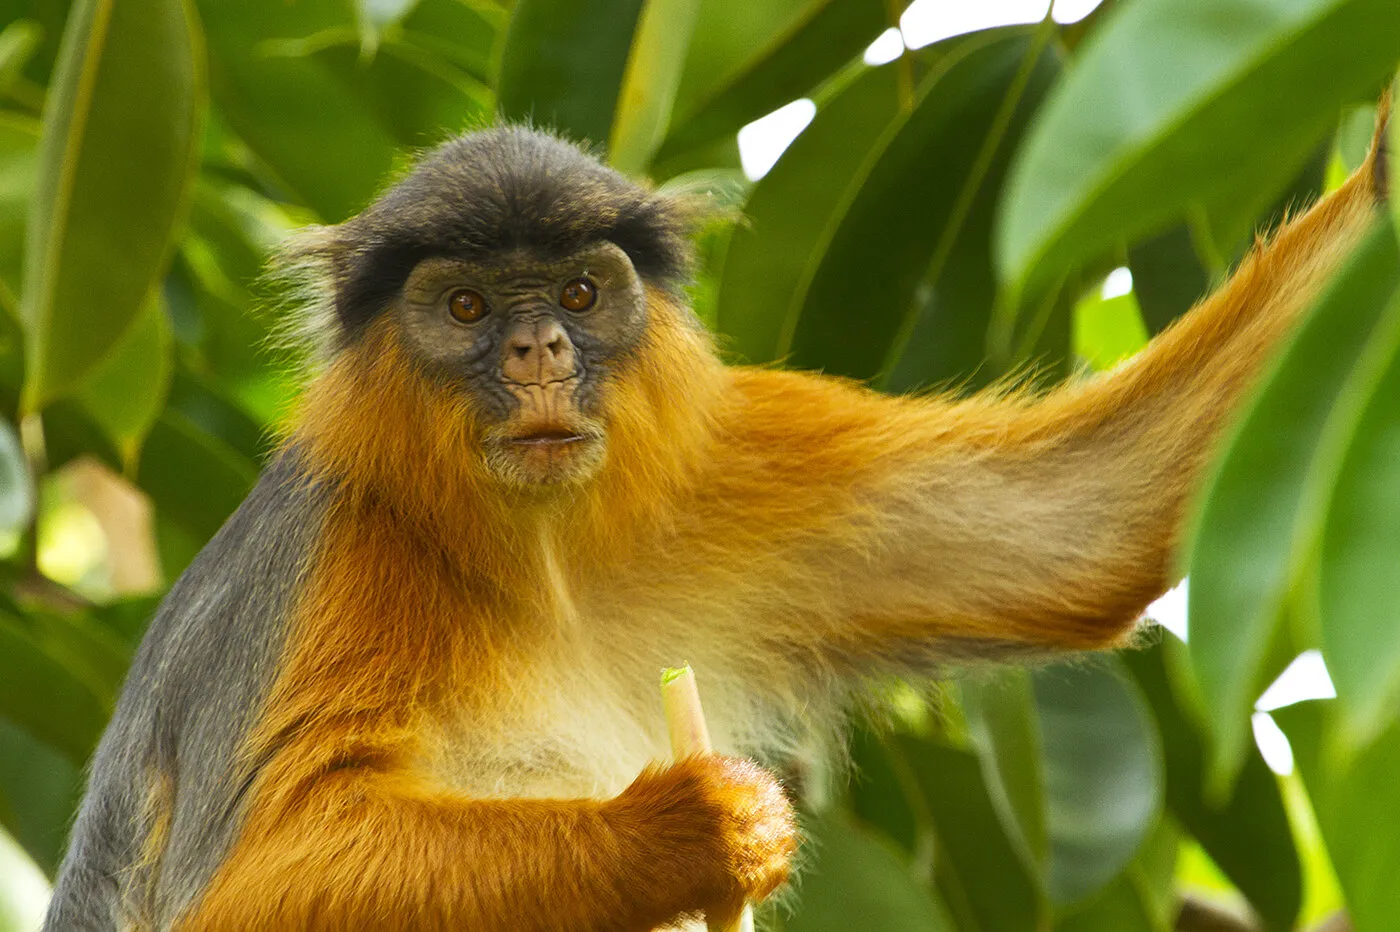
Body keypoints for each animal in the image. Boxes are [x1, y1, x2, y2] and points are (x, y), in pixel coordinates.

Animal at [41, 104, 1390, 931]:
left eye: (579, 294)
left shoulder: (714, 456)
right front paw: (683, 829)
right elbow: (239, 894)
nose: (537, 352)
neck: (540, 559)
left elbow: (1083, 518)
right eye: (468, 307)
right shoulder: (333, 551)